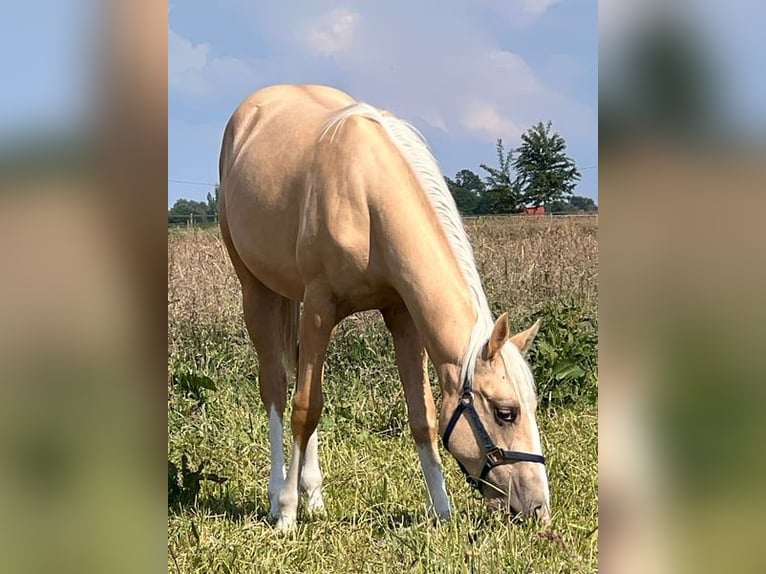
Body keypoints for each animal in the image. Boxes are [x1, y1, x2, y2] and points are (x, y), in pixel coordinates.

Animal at [218, 84, 550, 530]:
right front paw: (287, 513)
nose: (538, 508)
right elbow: (305, 408)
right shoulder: (321, 306)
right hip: (256, 290)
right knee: (275, 387)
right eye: (505, 412)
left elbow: (423, 416)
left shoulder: (401, 313)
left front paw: (442, 512)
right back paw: (277, 497)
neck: (367, 198)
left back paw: (313, 495)